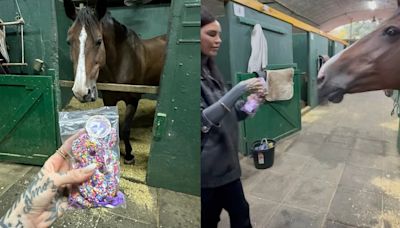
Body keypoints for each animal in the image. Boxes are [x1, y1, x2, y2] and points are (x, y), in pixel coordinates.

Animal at [64, 0, 167, 164]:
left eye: (99, 41)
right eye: (69, 41)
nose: (81, 92)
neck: (121, 64)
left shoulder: (133, 100)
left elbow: (125, 129)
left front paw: (129, 155)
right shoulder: (109, 99)